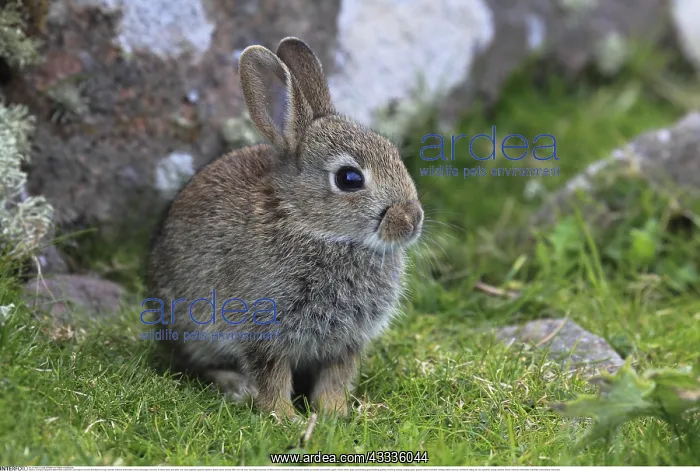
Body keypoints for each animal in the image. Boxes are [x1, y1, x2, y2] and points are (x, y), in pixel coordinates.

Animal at [146, 37, 424, 418]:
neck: (311, 225)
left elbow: (336, 377)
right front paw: (284, 417)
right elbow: (271, 374)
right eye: (349, 178)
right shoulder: (262, 328)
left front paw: (336, 413)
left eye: (394, 153)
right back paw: (237, 387)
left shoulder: (346, 341)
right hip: (191, 331)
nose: (412, 220)